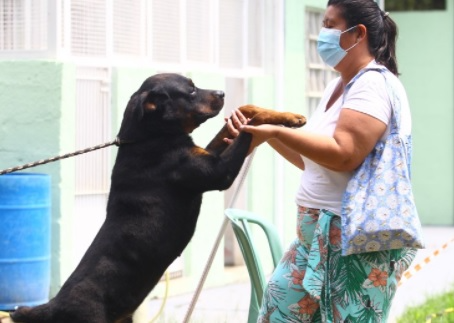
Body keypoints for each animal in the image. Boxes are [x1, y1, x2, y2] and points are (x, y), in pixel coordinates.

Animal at [10, 74, 306, 323]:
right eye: (190, 90)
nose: (222, 92)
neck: (148, 137)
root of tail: (51, 306)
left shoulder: (204, 153)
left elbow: (246, 112)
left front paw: (290, 117)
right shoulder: (218, 173)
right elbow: (249, 128)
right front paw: (274, 121)